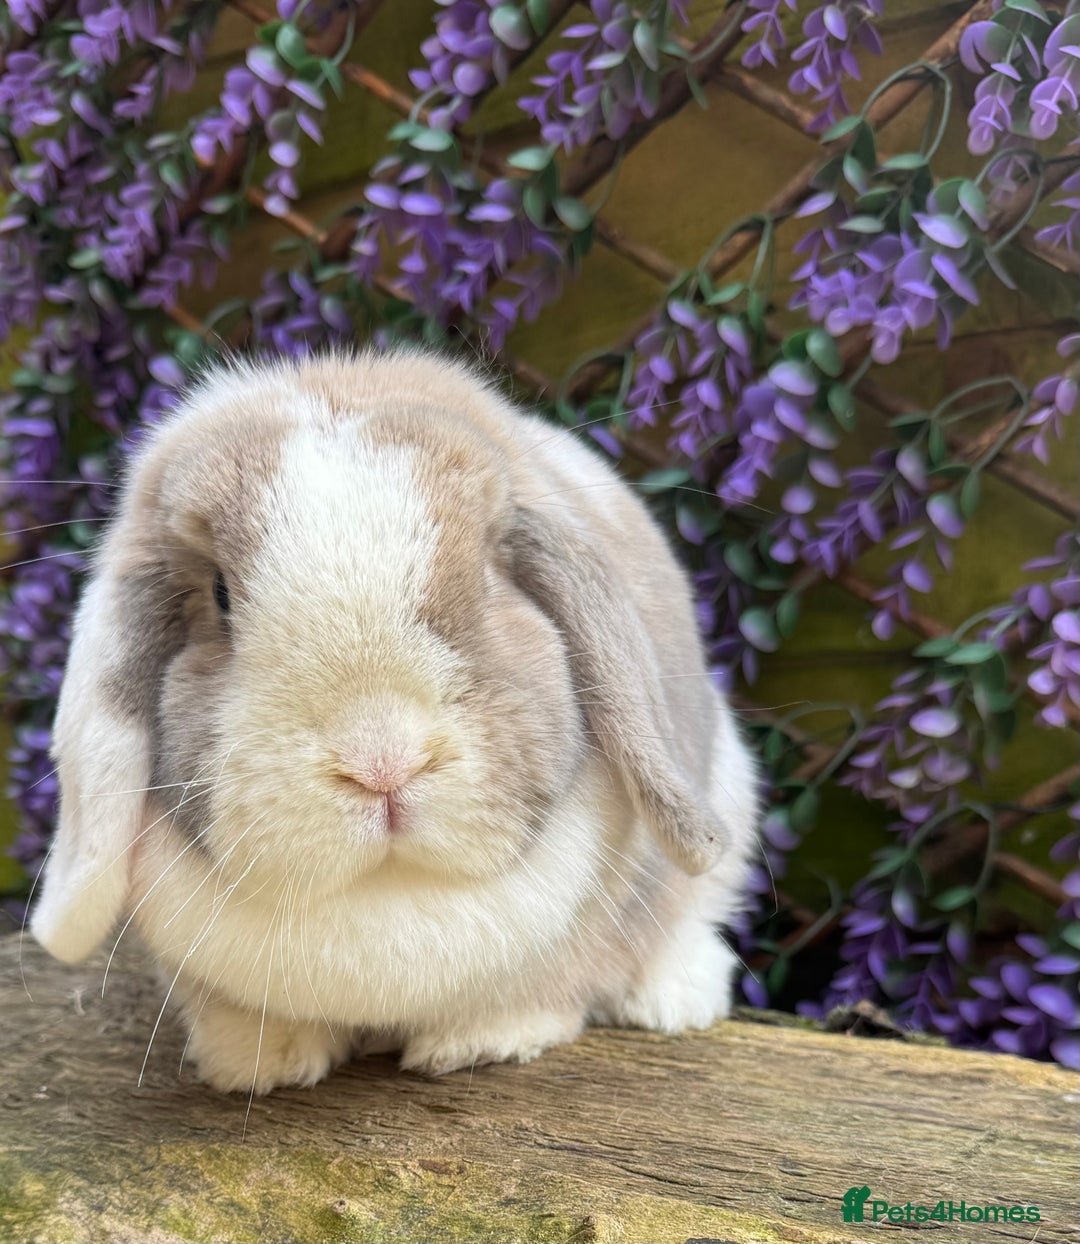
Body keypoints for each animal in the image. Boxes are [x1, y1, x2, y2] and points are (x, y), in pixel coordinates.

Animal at [30, 349, 760, 1093]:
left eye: (489, 577)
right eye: (220, 596)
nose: (383, 763)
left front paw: (479, 1043)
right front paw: (260, 1062)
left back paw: (674, 998)